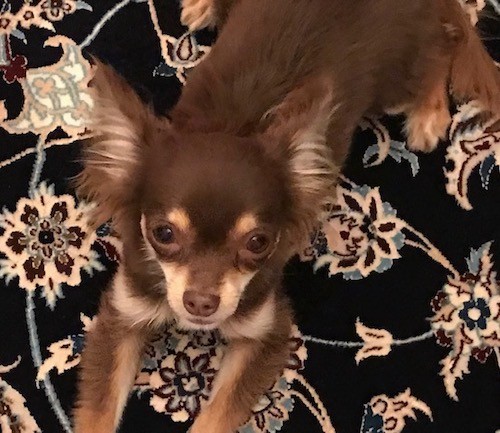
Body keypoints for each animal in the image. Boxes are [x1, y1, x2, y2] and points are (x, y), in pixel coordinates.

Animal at [74, 0, 500, 432]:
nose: (200, 303)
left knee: (443, 46)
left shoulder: (266, 333)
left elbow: (216, 415)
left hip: (395, 80)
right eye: (162, 234)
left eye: (258, 242)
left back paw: (429, 112)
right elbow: (97, 413)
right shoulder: (123, 316)